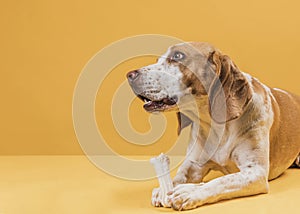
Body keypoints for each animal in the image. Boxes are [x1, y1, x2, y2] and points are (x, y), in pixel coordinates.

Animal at [126, 42, 300, 211]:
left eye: (178, 56)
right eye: (157, 60)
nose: (129, 75)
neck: (217, 126)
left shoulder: (255, 172)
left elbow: (221, 181)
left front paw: (190, 191)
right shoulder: (194, 165)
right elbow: (178, 176)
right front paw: (163, 190)